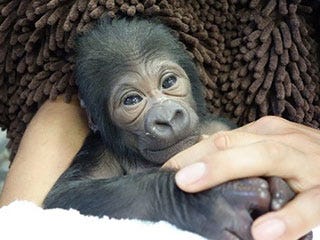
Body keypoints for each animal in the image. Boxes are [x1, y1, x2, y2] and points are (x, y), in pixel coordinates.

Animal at [43, 17, 306, 239]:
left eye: (168, 82)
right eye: (132, 100)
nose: (168, 117)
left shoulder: (220, 125)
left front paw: (280, 187)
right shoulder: (99, 148)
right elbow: (64, 196)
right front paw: (201, 202)